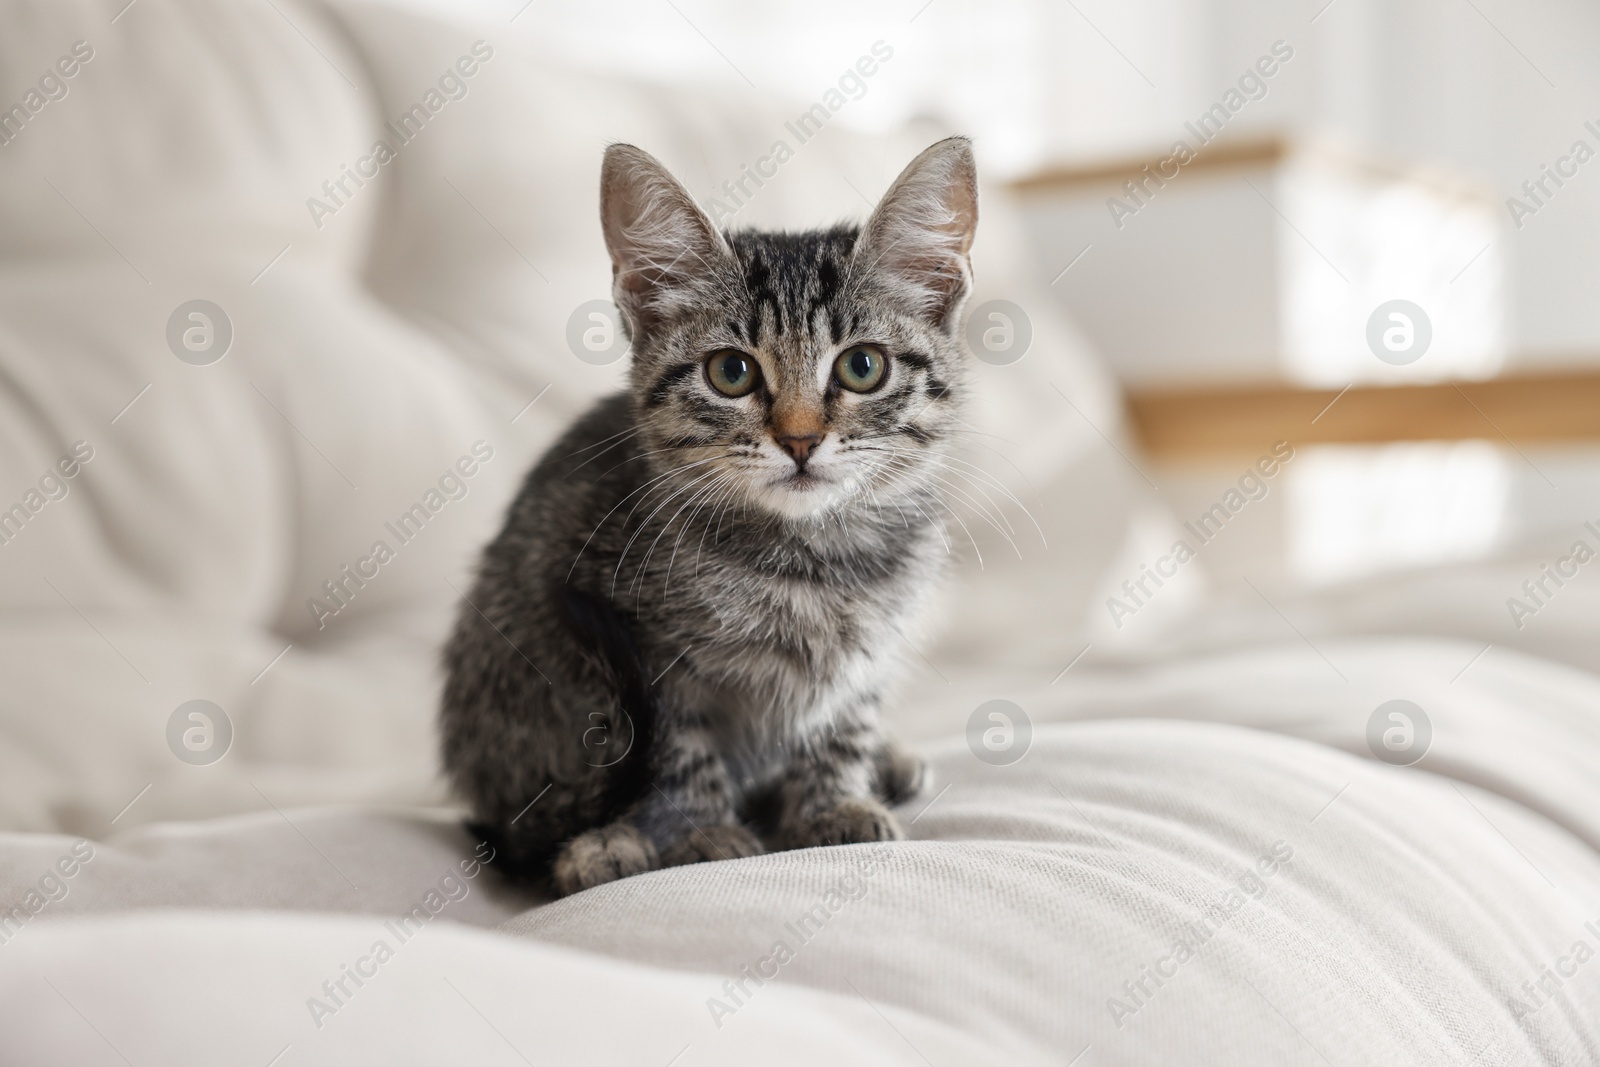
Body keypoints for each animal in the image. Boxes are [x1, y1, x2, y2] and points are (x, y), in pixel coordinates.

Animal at [444, 137, 979, 895]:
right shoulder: (639, 648)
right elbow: (677, 748)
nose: (800, 439)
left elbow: (843, 718)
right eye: (731, 373)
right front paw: (697, 831)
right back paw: (600, 845)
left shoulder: (873, 644)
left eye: (863, 367)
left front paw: (833, 801)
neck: (810, 559)